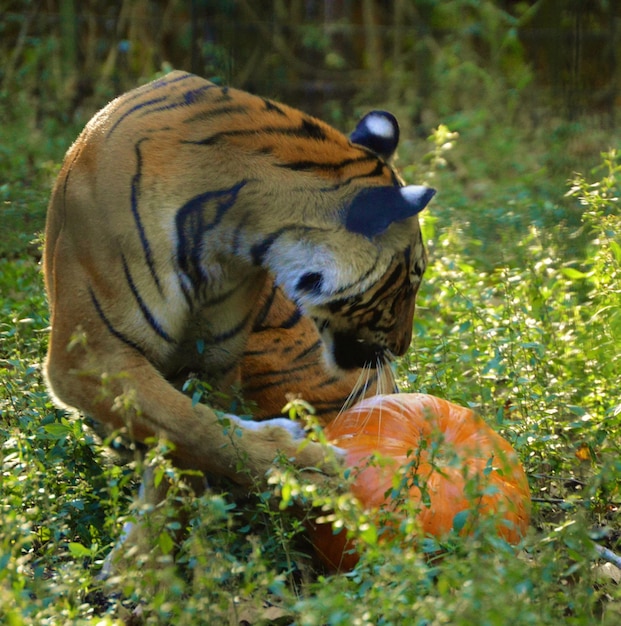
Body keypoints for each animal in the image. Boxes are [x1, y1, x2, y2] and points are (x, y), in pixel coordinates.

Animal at [43, 69, 434, 492]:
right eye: (411, 278)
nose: (402, 347)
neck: (232, 233)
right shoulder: (90, 352)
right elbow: (191, 426)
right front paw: (309, 469)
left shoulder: (216, 356)